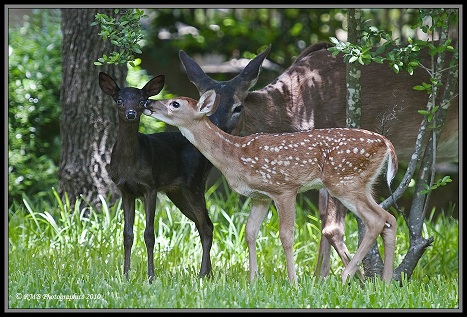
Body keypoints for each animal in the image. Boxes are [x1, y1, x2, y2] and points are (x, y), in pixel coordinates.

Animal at [145, 90, 398, 282]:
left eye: (175, 103)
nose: (148, 102)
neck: (235, 155)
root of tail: (386, 142)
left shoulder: (284, 188)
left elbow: (286, 235)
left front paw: (293, 281)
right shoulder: (260, 196)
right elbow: (250, 232)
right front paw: (253, 280)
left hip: (344, 180)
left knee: (376, 219)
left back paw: (346, 277)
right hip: (363, 183)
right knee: (389, 218)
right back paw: (386, 282)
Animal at [179, 41, 460, 276]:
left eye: (238, 107)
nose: (215, 132)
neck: (298, 106)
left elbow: (330, 227)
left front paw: (345, 279)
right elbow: (323, 221)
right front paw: (319, 278)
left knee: (371, 220)